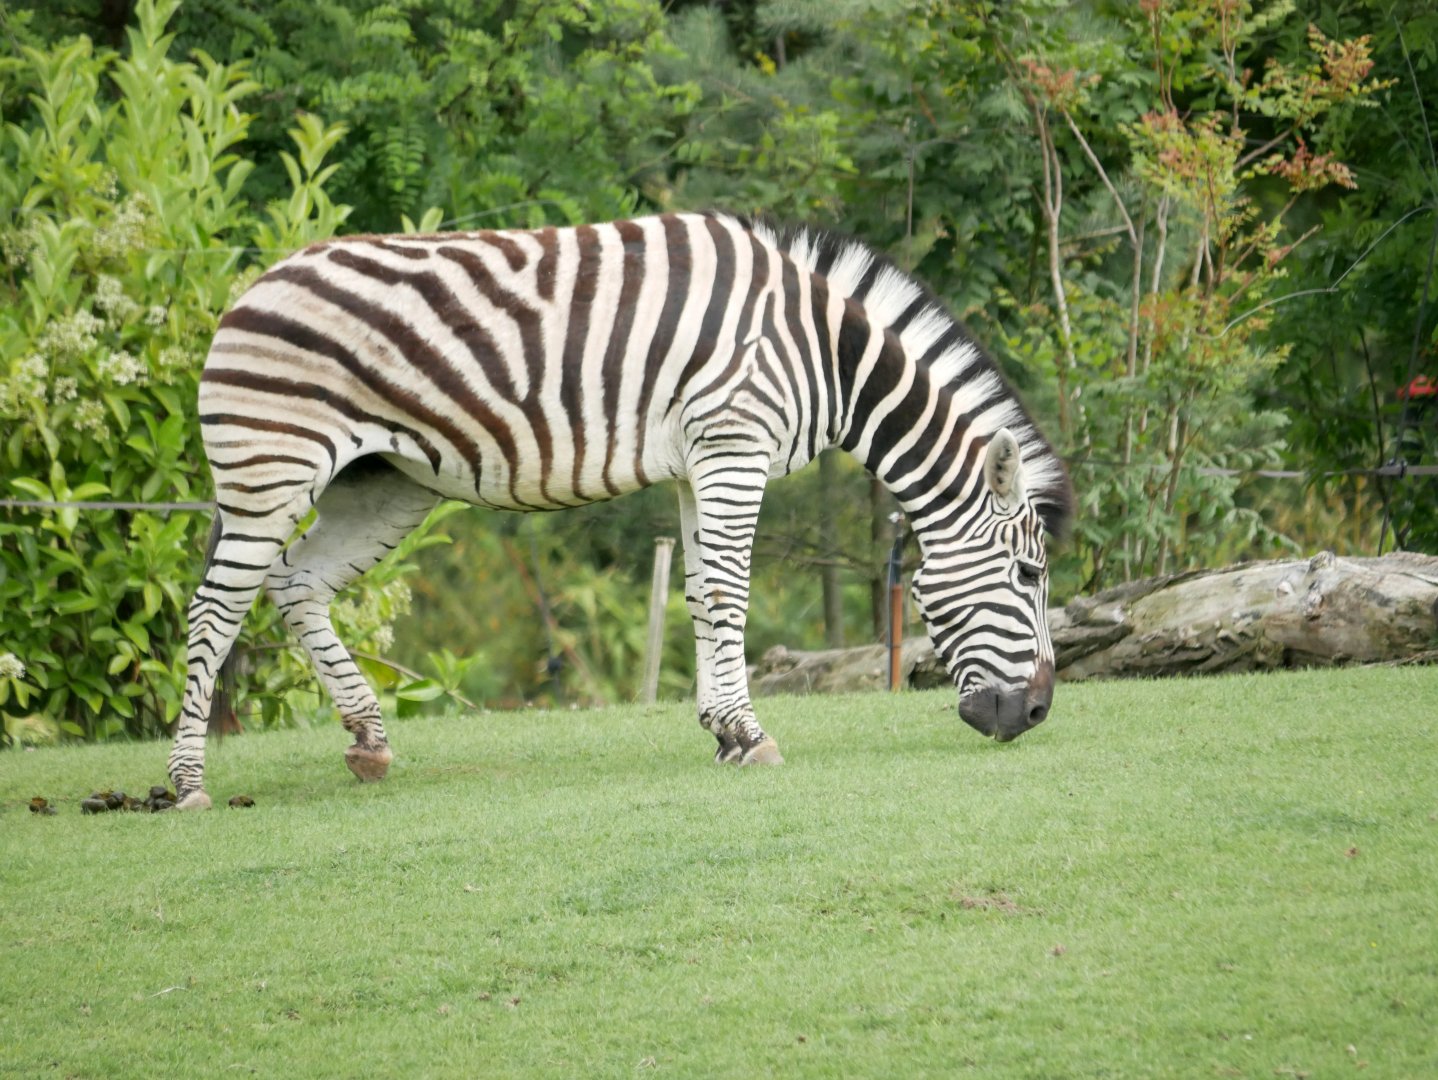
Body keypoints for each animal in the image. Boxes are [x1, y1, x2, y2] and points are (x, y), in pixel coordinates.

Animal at [167, 211, 1073, 809]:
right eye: (1029, 574)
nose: (1036, 714)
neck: (825, 352)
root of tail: (247, 289)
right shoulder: (735, 447)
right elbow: (731, 594)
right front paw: (753, 736)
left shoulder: (700, 463)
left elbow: (702, 597)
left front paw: (722, 731)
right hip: (271, 469)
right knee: (214, 609)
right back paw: (186, 783)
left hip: (384, 480)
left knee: (295, 584)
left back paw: (368, 741)